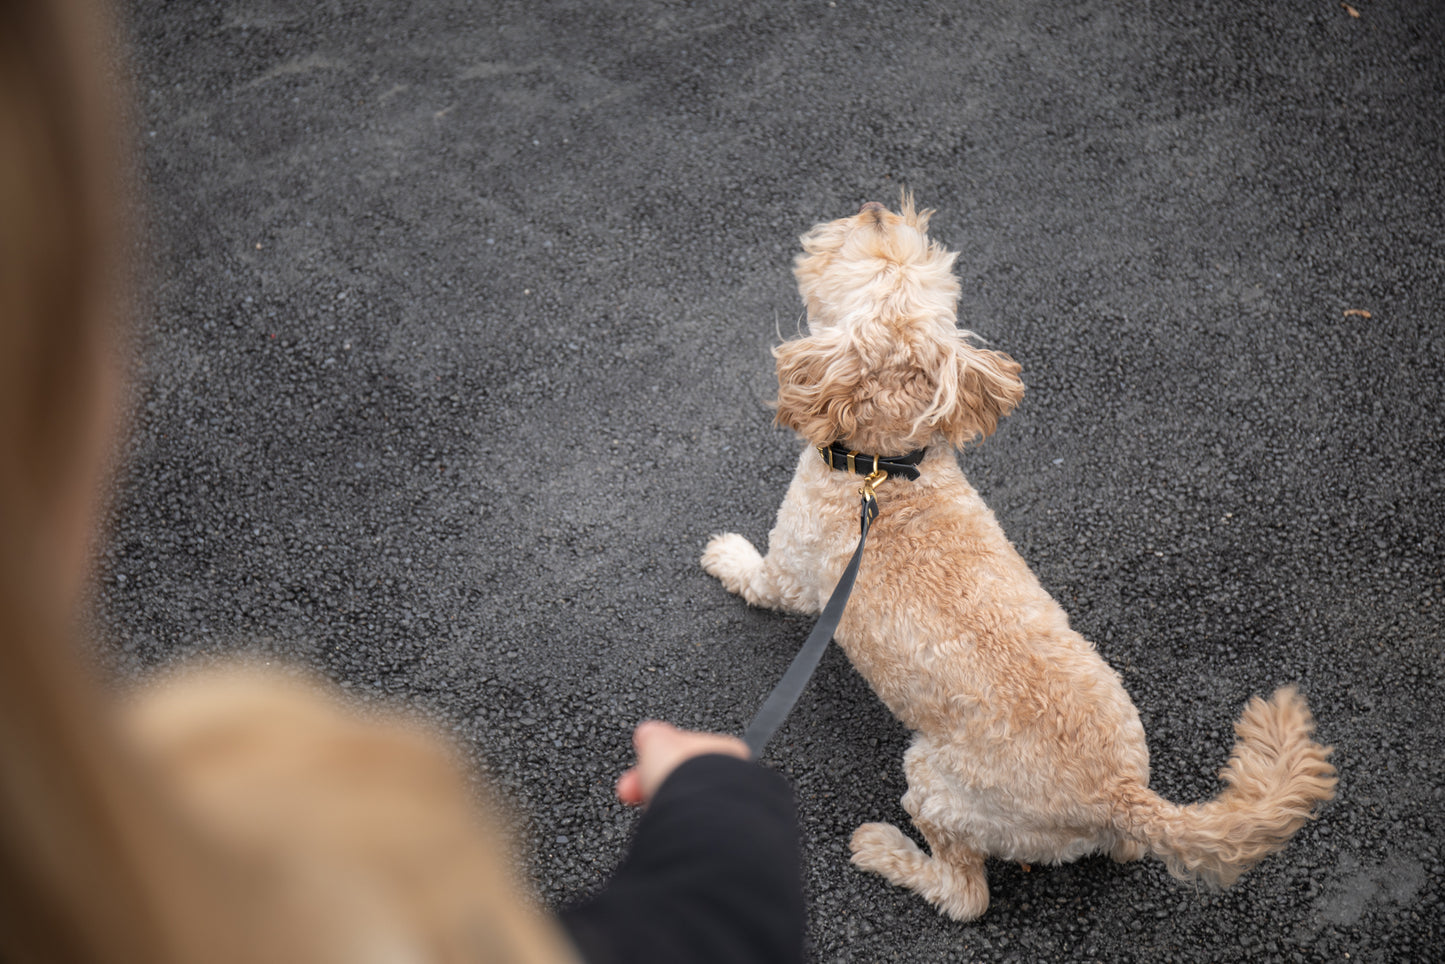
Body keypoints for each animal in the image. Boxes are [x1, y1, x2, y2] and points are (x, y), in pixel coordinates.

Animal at [699, 196, 1329, 919]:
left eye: (874, 261)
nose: (878, 208)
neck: (886, 471)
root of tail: (1119, 795)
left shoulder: (795, 565)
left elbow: (761, 581)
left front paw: (724, 555)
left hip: (938, 785)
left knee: (963, 893)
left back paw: (886, 850)